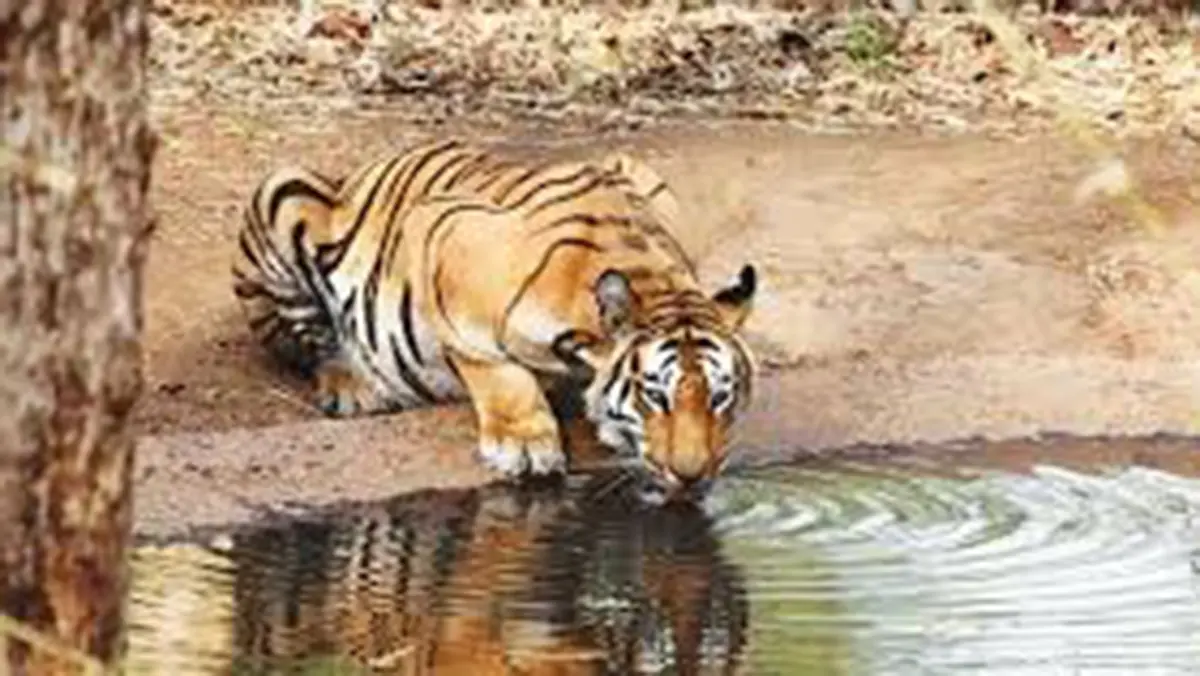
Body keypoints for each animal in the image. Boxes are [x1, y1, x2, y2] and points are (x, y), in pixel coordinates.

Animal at [232, 138, 759, 503]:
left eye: (720, 397)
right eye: (655, 396)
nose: (692, 477)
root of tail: (354, 175)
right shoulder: (445, 231)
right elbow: (492, 364)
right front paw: (524, 445)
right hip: (283, 194)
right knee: (308, 343)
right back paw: (354, 385)